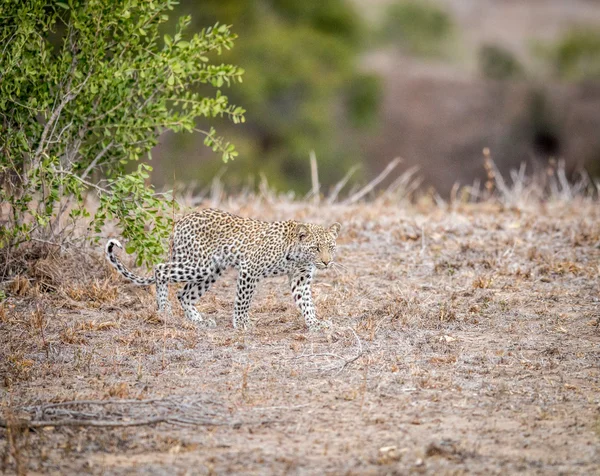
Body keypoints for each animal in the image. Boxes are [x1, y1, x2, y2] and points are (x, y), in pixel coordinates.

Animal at [105, 208, 340, 330]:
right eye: (316, 248)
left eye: (331, 247)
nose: (326, 262)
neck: (297, 255)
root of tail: (180, 221)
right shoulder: (249, 269)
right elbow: (243, 301)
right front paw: (242, 323)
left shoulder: (301, 279)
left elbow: (307, 303)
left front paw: (316, 323)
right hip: (198, 264)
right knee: (161, 269)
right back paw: (164, 312)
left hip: (211, 271)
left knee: (184, 294)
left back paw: (199, 321)